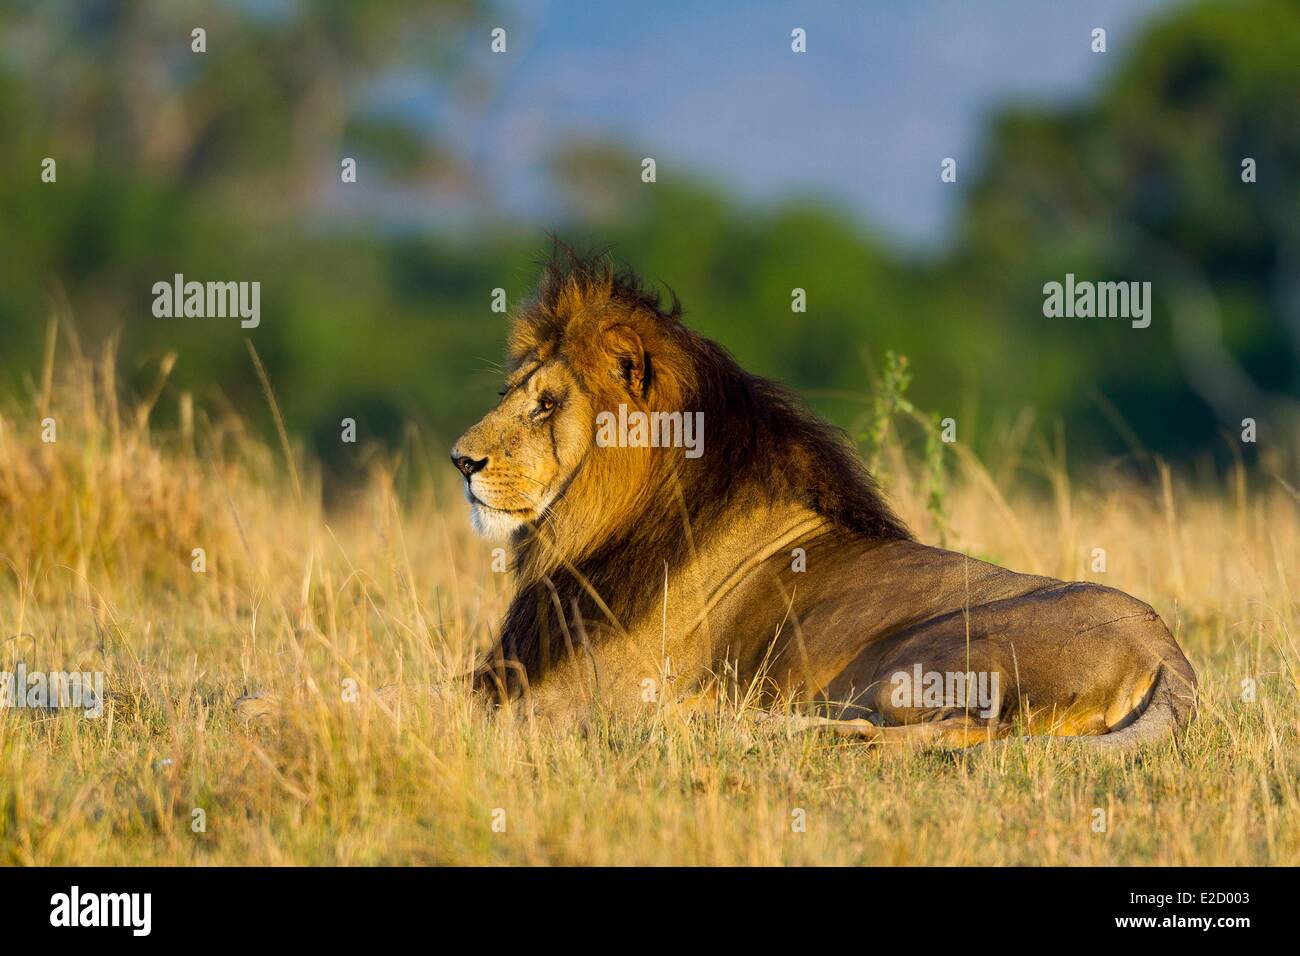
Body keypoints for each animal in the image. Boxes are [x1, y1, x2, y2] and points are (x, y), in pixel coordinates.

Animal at [451, 252, 1197, 750]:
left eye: (547, 404)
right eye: (510, 393)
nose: (461, 461)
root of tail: (1169, 659)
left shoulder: (574, 696)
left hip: (926, 662)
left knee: (941, 736)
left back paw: (737, 723)